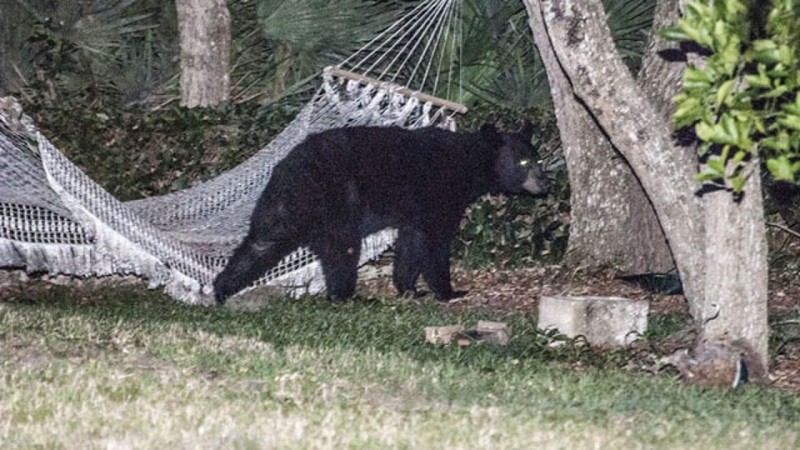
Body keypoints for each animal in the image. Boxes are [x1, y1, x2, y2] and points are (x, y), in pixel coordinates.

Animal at [214, 124, 552, 302]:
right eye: (523, 162)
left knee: (259, 245)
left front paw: (409, 289)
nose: (545, 182)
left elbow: (410, 243)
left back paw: (221, 290)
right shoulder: (437, 197)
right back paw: (349, 296)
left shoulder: (415, 212)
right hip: (336, 205)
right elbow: (434, 243)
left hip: (281, 210)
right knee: (343, 251)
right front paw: (450, 291)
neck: (469, 163)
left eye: (537, 158)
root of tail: (286, 170)